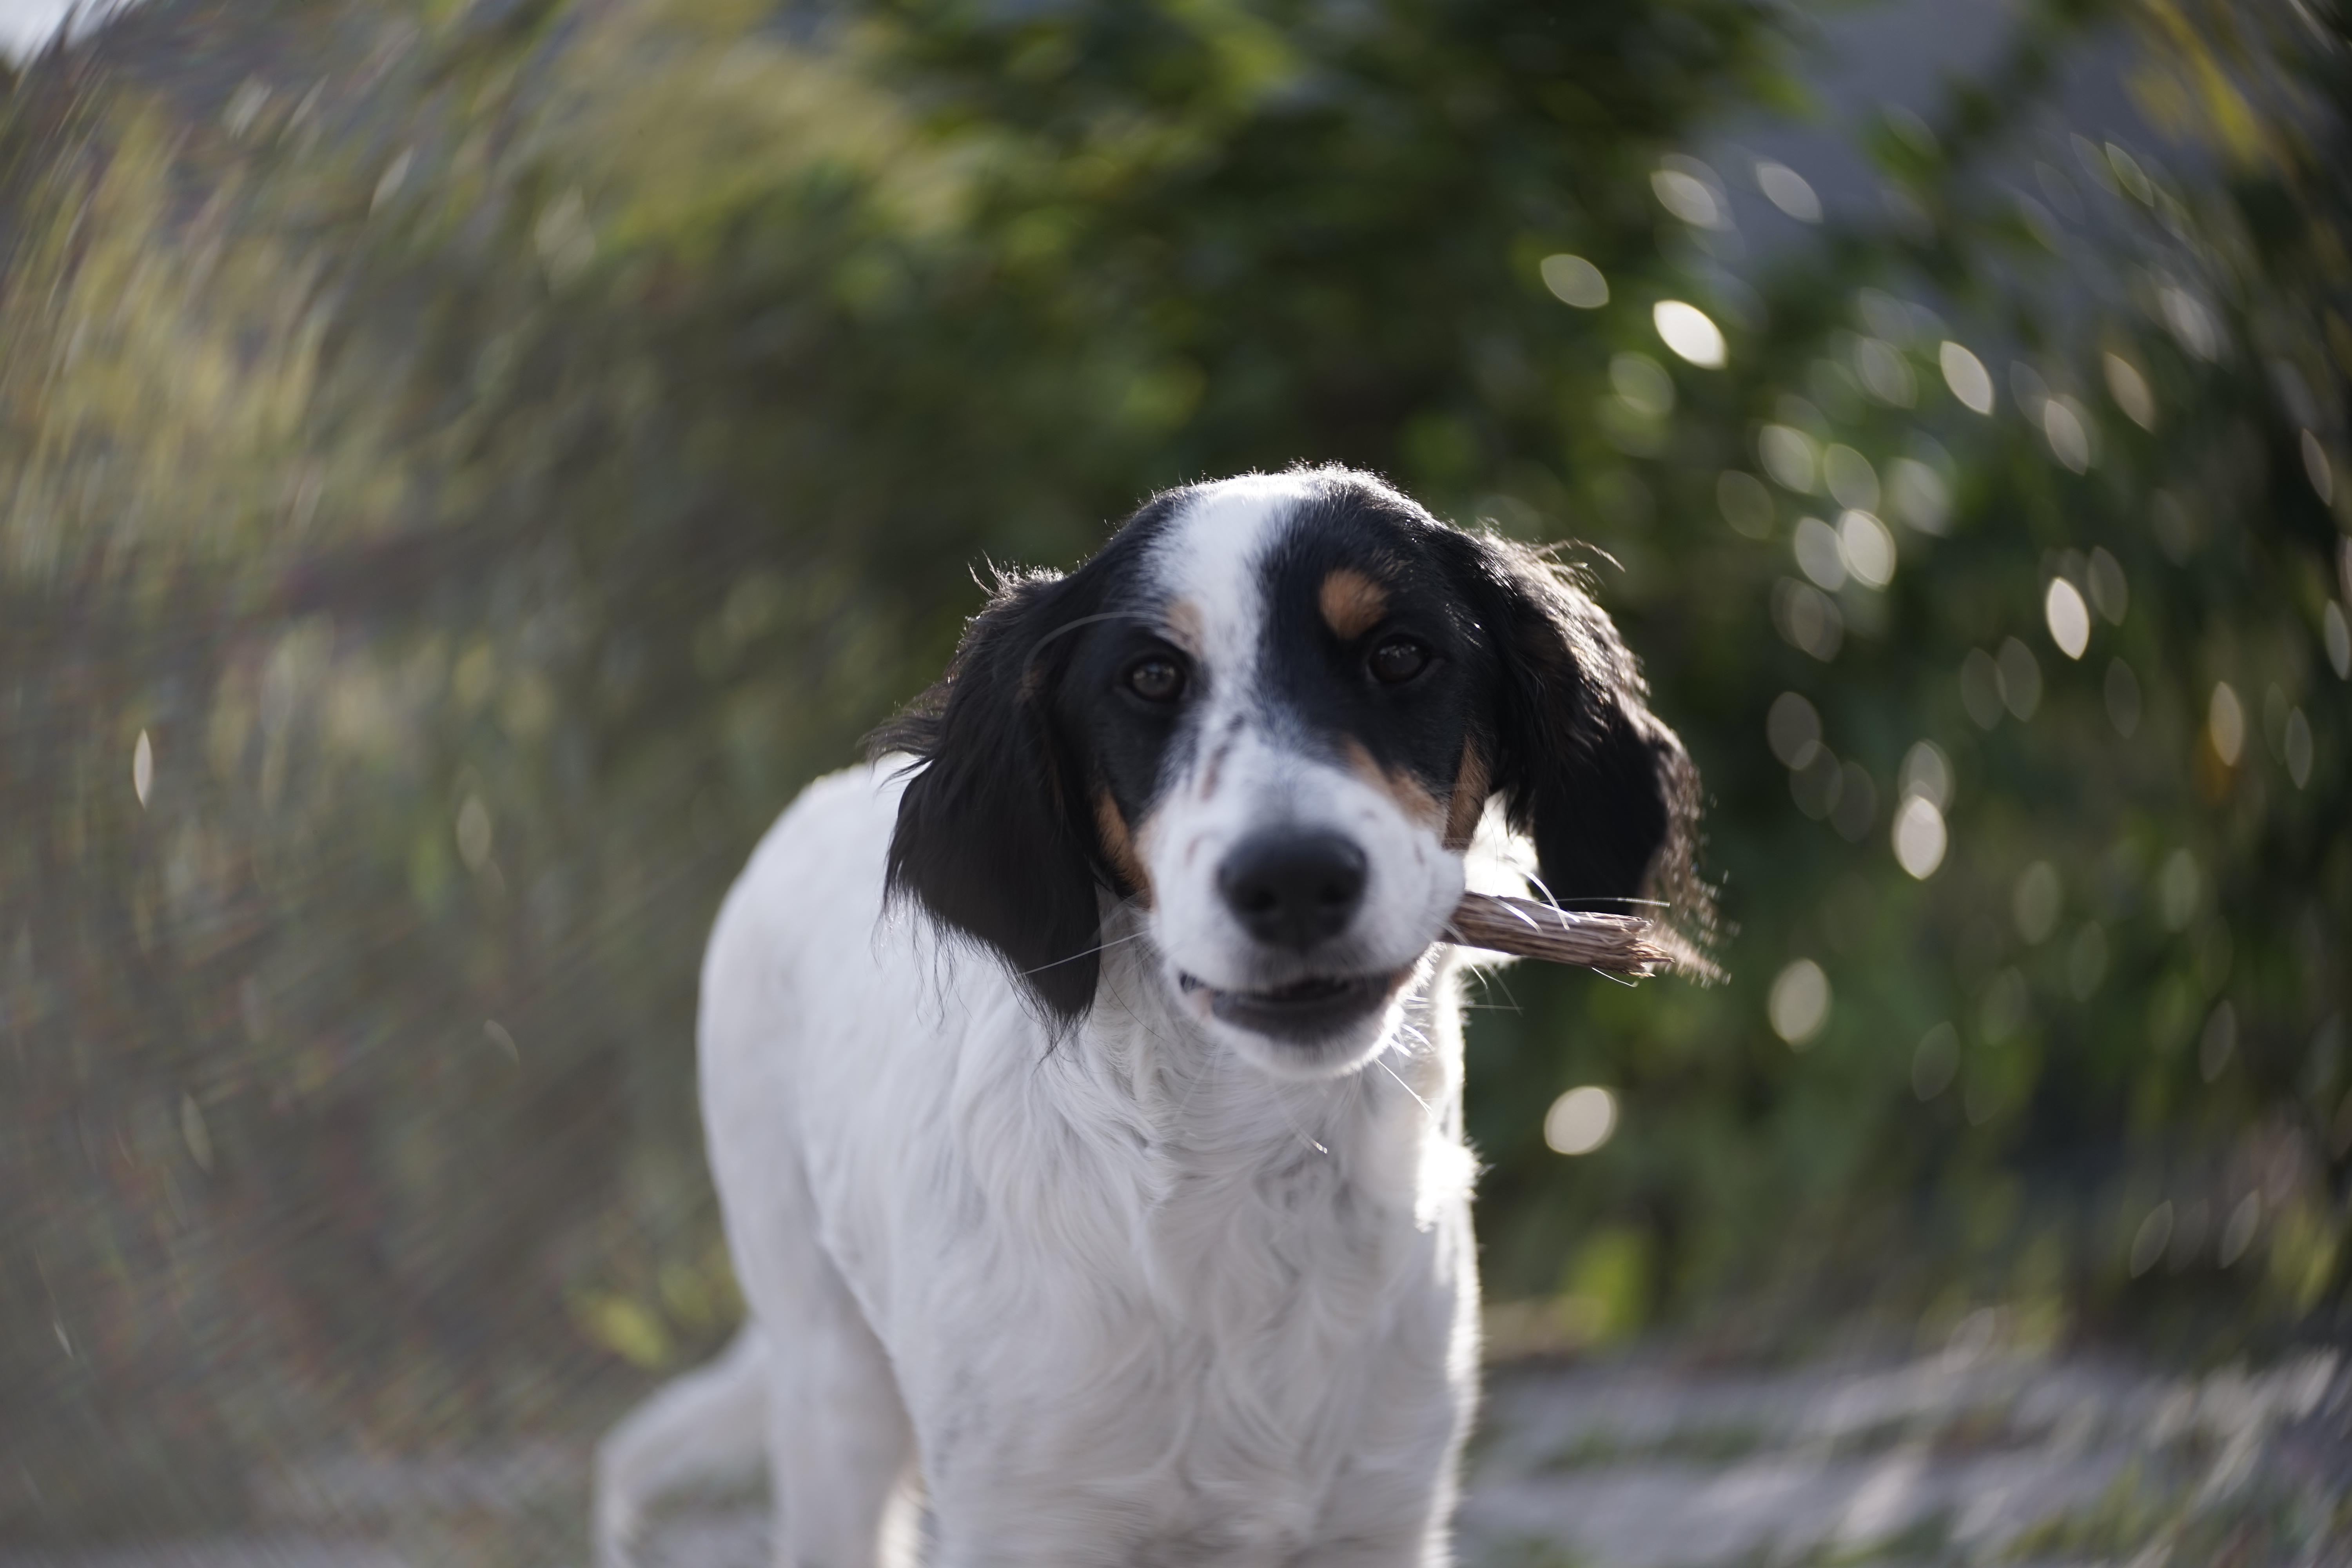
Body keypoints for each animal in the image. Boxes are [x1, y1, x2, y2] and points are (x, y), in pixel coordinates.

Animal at [586, 470, 1693, 1568]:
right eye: (1152, 678)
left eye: (1399, 654)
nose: (1295, 879)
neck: (1253, 1177)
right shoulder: (1025, 1522)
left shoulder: (1383, 1510)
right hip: (831, 1393)